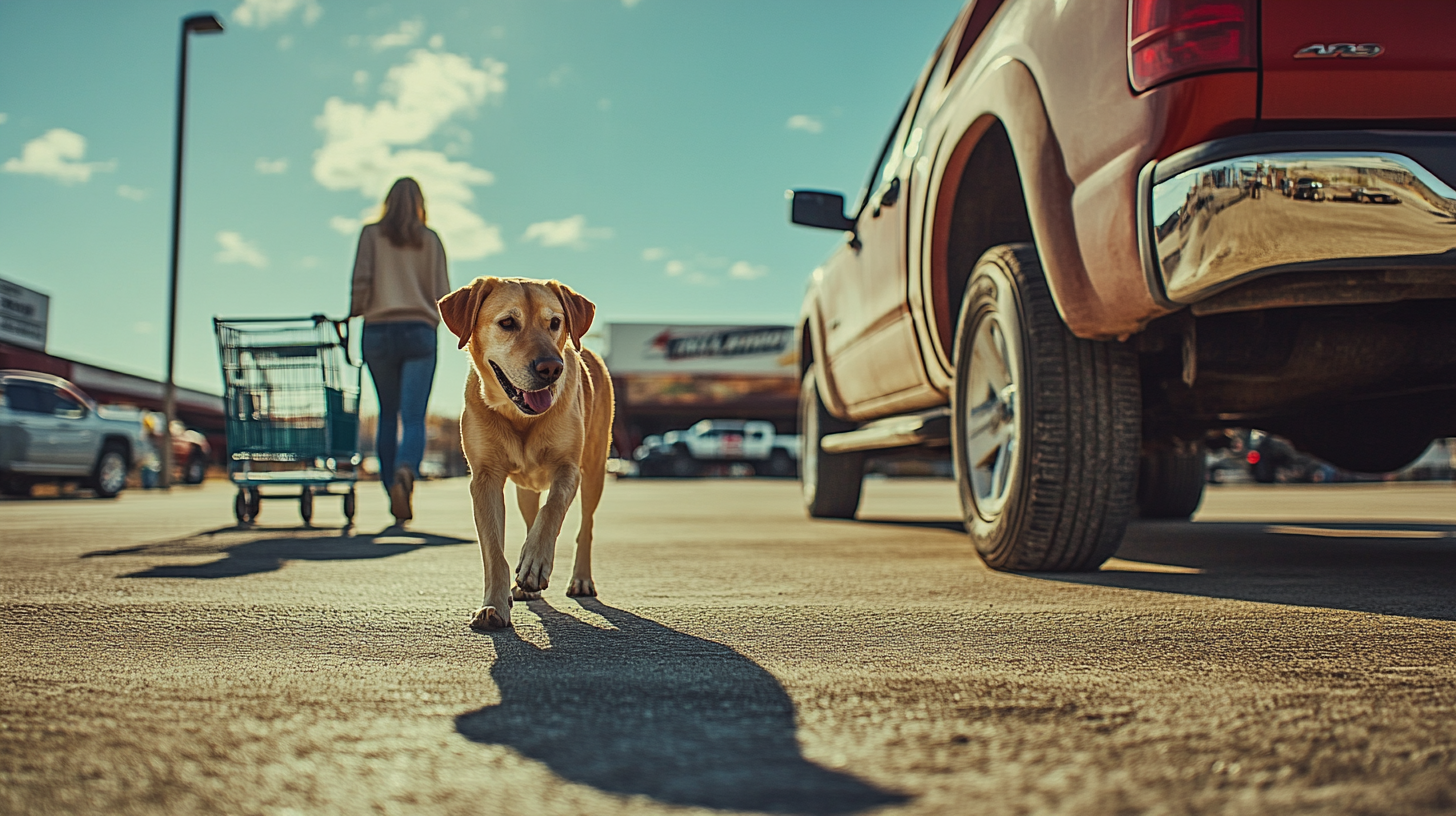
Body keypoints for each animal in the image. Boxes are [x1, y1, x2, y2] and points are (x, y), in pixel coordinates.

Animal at [433, 275, 611, 632]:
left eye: (555, 323)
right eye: (507, 323)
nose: (552, 368)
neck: (520, 417)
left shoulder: (568, 469)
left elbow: (552, 510)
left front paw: (536, 564)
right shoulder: (485, 478)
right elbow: (493, 549)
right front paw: (493, 605)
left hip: (595, 470)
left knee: (585, 526)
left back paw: (580, 579)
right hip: (525, 491)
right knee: (531, 516)